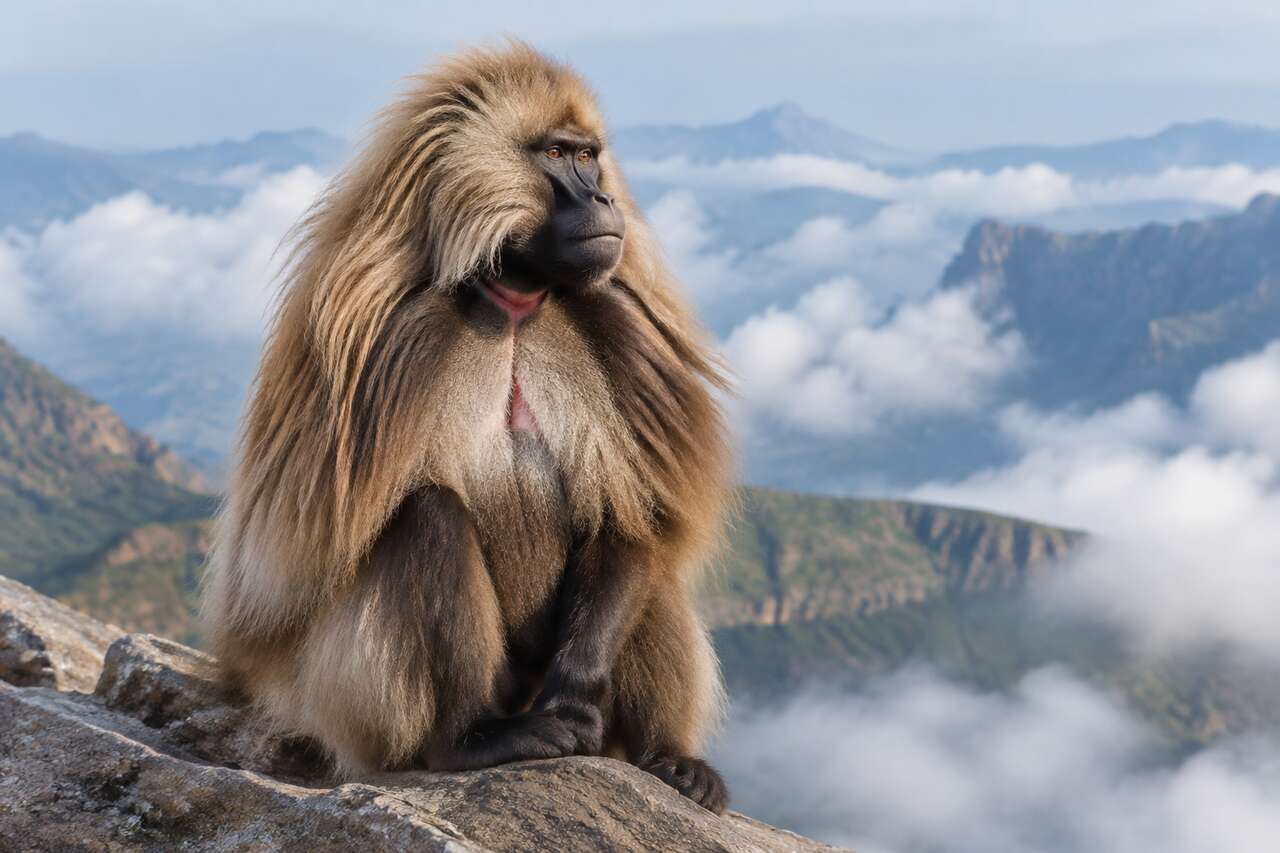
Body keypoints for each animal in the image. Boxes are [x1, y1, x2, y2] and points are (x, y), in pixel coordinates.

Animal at [201, 43, 735, 813]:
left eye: (591, 156)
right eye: (557, 154)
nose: (604, 200)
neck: (513, 297)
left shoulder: (625, 337)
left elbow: (635, 516)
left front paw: (580, 701)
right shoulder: (382, 344)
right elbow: (282, 580)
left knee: (645, 551)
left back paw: (671, 760)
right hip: (348, 704)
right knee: (428, 516)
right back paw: (469, 739)